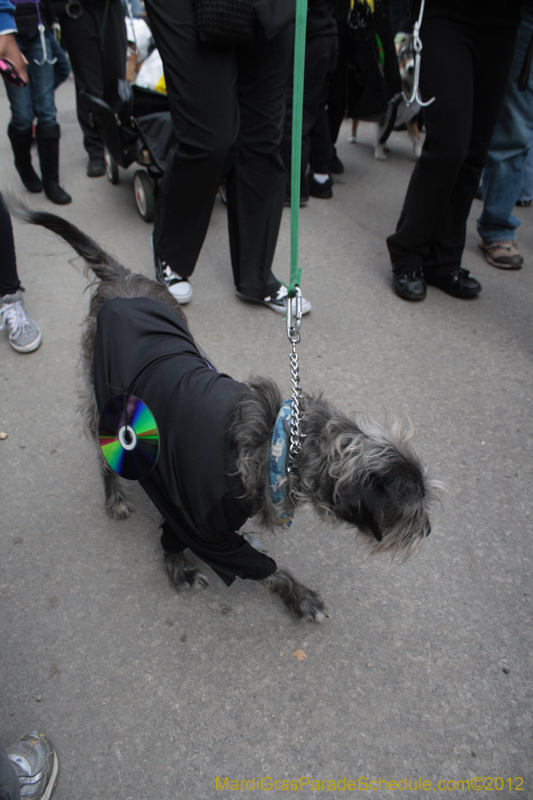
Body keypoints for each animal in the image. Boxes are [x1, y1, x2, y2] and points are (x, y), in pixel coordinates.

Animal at [9, 202, 440, 624]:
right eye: (408, 509)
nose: (429, 531)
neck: (283, 444)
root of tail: (122, 279)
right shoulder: (200, 524)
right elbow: (253, 564)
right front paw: (291, 593)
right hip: (101, 397)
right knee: (104, 453)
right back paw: (113, 495)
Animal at [352, 33, 422, 161]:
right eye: (409, 54)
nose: (411, 68)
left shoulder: (411, 114)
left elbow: (416, 137)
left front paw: (419, 153)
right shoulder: (386, 114)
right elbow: (382, 135)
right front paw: (379, 153)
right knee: (356, 119)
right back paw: (353, 136)